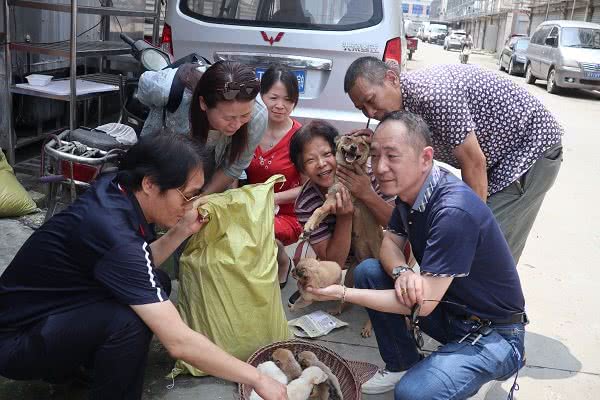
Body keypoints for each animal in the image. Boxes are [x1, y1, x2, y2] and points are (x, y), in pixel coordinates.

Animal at [300, 132, 384, 338]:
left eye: (362, 145)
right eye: (348, 140)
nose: (353, 148)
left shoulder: (335, 199)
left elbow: (319, 210)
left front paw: (309, 225)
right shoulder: (333, 198)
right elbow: (321, 210)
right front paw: (311, 226)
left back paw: (368, 328)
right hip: (351, 274)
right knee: (346, 294)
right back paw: (338, 309)